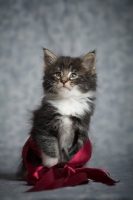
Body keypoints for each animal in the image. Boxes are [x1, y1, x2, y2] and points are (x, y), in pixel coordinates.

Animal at [17, 48, 96, 178]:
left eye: (73, 75)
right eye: (58, 74)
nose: (63, 81)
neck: (67, 101)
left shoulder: (81, 130)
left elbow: (73, 154)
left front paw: (67, 168)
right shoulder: (43, 123)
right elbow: (49, 143)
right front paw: (51, 164)